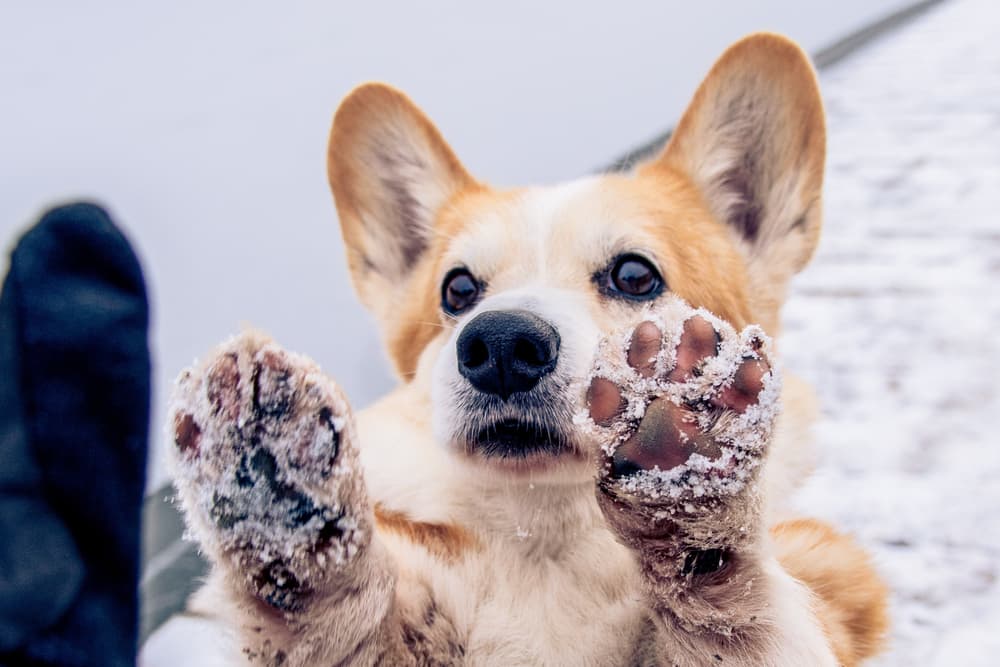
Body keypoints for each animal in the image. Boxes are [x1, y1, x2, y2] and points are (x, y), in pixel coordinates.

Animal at [166, 32, 892, 667]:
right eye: (458, 289)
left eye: (635, 275)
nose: (501, 345)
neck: (547, 542)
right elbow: (343, 621)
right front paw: (277, 486)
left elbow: (736, 612)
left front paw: (686, 466)